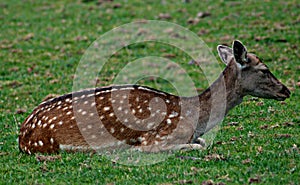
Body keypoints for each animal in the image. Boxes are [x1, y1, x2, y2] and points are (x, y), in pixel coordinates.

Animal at [17, 40, 290, 155]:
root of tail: (23, 136)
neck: (195, 118)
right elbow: (197, 145)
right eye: (264, 70)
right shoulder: (156, 138)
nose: (286, 90)